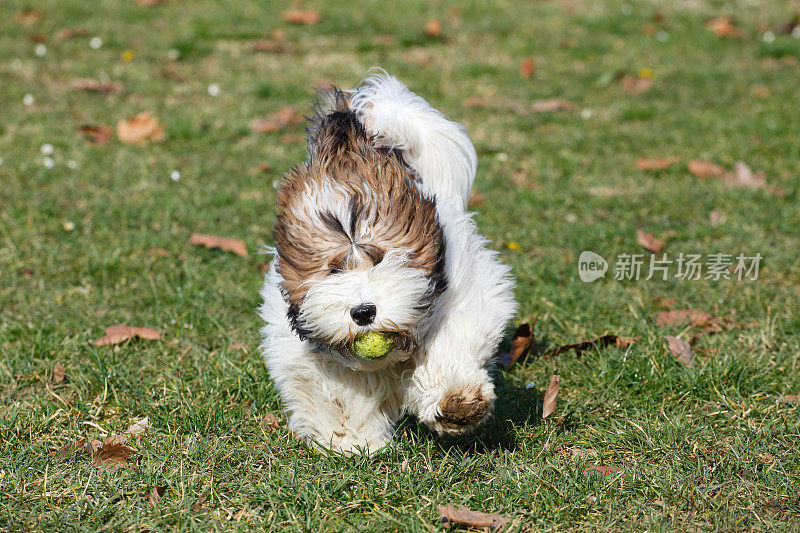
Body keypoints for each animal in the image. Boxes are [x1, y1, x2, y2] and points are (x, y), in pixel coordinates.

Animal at [260, 70, 516, 454]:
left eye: (382, 258)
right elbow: (339, 391)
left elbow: (451, 341)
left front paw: (456, 402)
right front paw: (350, 439)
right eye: (334, 269)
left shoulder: (467, 293)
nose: (364, 312)